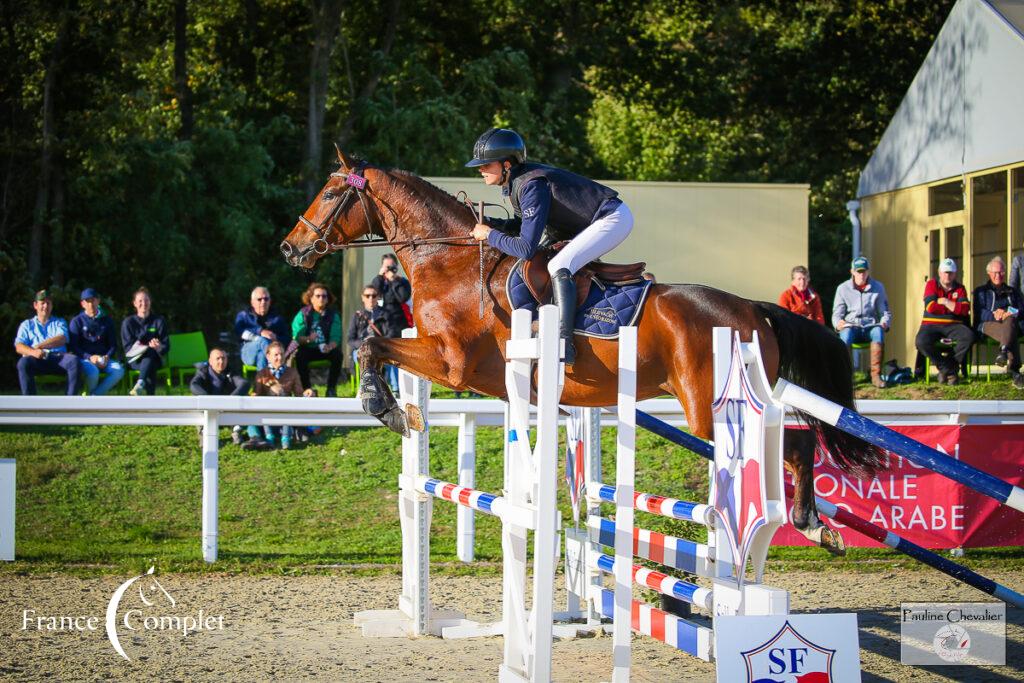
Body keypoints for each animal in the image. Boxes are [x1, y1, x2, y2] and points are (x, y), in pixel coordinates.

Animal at [278, 147, 880, 552]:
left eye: (330, 193)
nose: (290, 248)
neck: (447, 261)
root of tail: (754, 310)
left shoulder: (451, 363)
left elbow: (371, 344)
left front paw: (384, 408)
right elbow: (373, 344)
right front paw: (397, 411)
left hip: (711, 409)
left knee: (796, 445)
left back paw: (810, 525)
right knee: (793, 445)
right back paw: (812, 524)